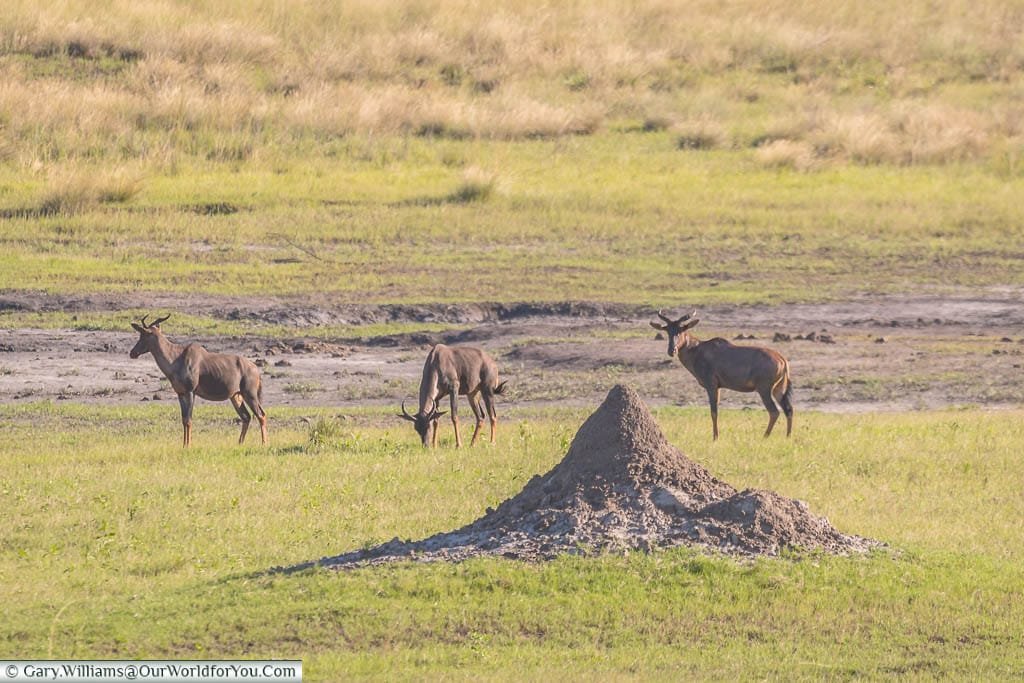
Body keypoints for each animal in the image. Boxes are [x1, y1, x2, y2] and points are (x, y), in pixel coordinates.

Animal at [129, 315, 268, 448]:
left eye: (145, 334)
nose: (132, 353)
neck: (178, 357)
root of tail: (255, 368)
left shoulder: (191, 392)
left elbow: (189, 420)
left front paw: (188, 445)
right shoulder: (181, 394)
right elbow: (184, 419)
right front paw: (184, 445)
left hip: (250, 394)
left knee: (261, 415)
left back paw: (264, 443)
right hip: (236, 396)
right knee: (246, 417)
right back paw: (240, 443)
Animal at [647, 309, 790, 440]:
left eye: (682, 329)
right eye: (668, 331)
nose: (672, 350)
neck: (699, 349)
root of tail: (782, 358)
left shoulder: (711, 385)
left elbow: (714, 412)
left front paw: (715, 437)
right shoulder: (718, 387)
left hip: (764, 389)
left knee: (774, 411)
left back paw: (765, 436)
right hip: (778, 389)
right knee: (788, 409)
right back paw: (787, 436)